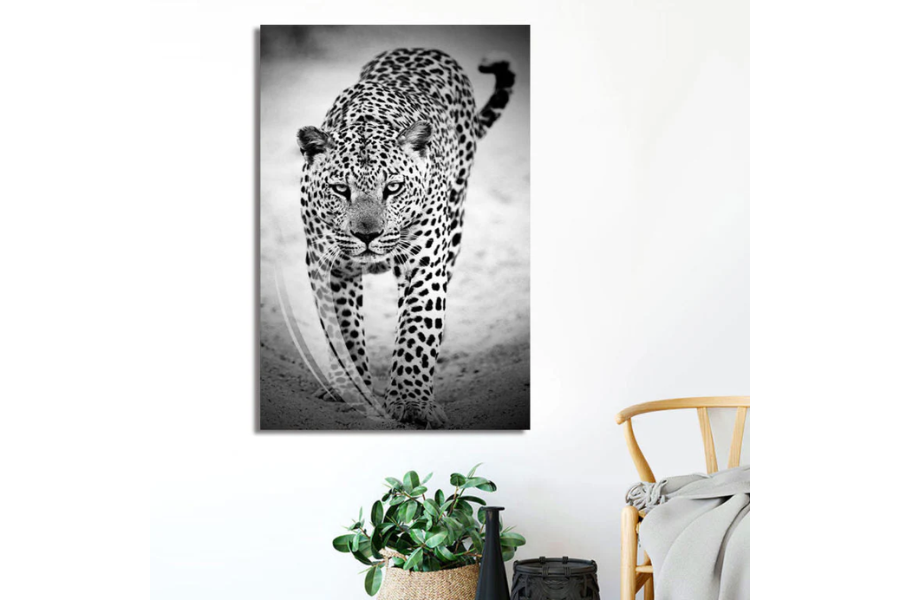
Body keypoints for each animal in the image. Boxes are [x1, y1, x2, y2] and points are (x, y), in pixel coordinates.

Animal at [296, 48, 515, 428]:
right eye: (341, 189)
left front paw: (412, 402)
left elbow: (417, 330)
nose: (367, 235)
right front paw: (349, 387)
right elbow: (343, 330)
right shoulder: (330, 267)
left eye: (393, 187)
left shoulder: (424, 265)